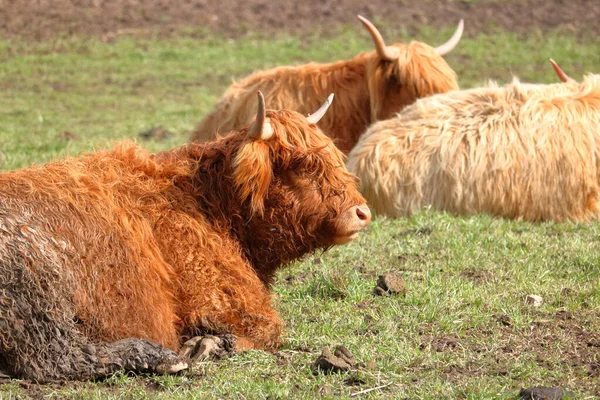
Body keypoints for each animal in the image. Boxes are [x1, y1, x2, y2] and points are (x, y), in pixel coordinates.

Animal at [0, 92, 370, 382]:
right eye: (303, 165)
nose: (362, 212)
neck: (206, 202)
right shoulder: (224, 298)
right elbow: (268, 330)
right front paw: (208, 344)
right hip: (41, 291)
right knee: (56, 359)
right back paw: (160, 356)